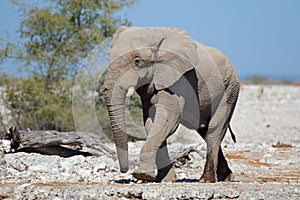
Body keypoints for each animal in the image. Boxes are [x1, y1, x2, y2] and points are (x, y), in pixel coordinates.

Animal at [102, 26, 239, 183]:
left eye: (137, 61)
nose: (124, 170)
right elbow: (150, 122)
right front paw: (165, 179)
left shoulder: (180, 77)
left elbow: (170, 118)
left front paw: (142, 175)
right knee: (205, 130)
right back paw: (226, 177)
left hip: (229, 91)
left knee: (213, 131)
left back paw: (207, 180)